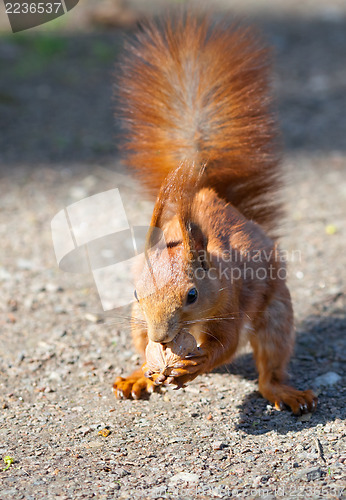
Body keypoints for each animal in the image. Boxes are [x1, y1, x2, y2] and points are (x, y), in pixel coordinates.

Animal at [113, 14, 316, 414]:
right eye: (135, 291)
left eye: (192, 295)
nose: (162, 336)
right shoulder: (139, 317)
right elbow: (146, 346)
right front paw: (147, 368)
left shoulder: (230, 303)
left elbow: (226, 345)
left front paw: (192, 367)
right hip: (138, 324)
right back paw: (135, 376)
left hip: (276, 315)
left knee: (270, 366)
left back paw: (285, 392)